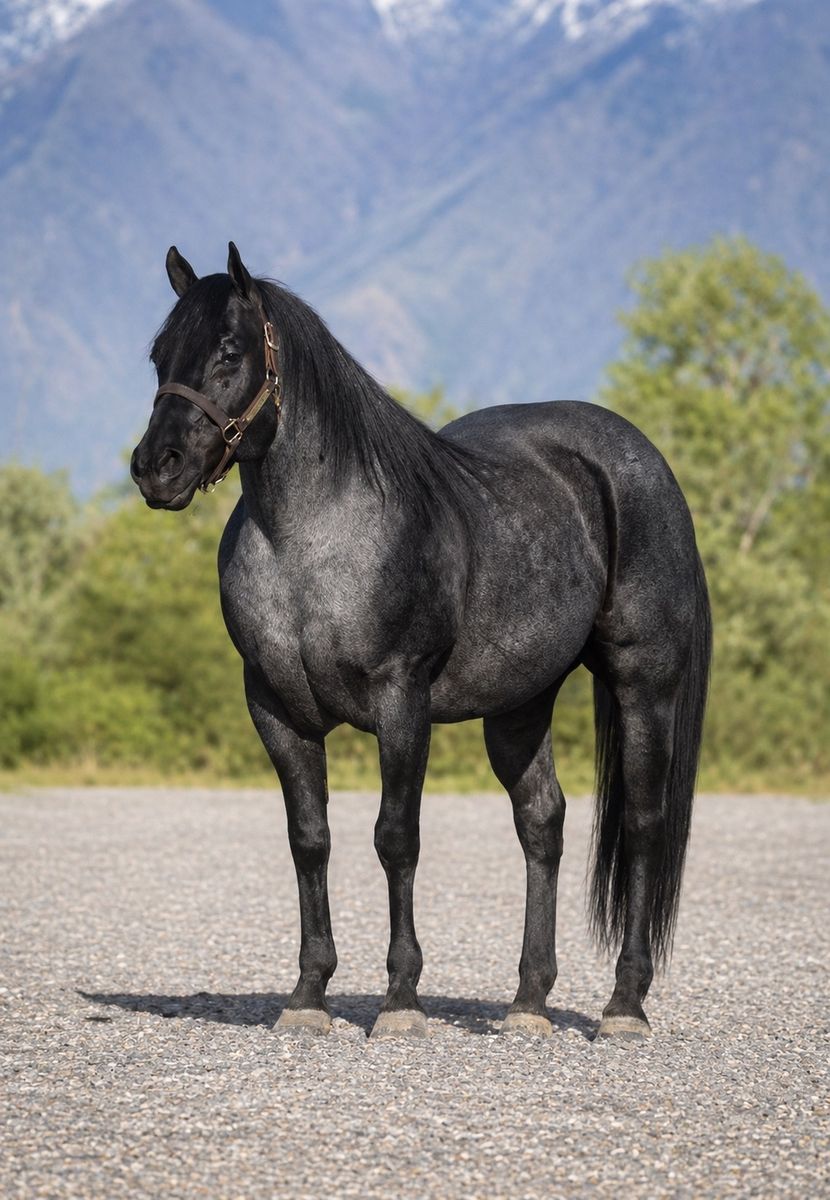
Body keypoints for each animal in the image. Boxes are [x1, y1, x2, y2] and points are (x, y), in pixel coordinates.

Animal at [131, 243, 711, 1042]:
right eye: (159, 354)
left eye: (228, 350)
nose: (155, 467)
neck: (310, 541)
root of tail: (642, 462)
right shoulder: (275, 709)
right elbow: (309, 839)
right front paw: (307, 996)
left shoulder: (400, 700)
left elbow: (394, 837)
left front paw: (401, 1000)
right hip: (520, 703)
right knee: (542, 823)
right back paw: (528, 1004)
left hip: (643, 683)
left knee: (645, 824)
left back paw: (624, 1006)